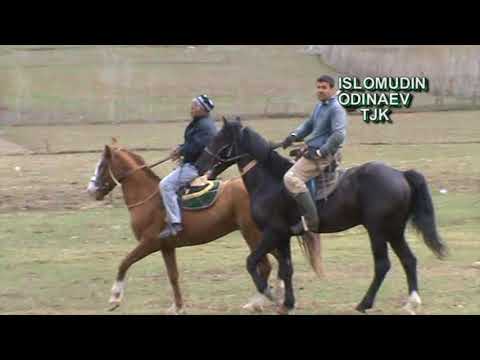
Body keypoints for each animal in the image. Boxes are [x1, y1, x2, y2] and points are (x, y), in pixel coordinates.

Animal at [86, 142, 322, 314]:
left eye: (101, 166)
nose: (91, 191)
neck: (150, 199)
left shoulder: (149, 243)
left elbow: (124, 263)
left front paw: (114, 298)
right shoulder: (166, 247)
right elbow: (173, 276)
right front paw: (178, 307)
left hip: (254, 235)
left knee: (265, 265)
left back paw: (258, 301)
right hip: (265, 236)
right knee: (278, 262)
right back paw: (277, 297)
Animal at [195, 118, 446, 316]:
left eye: (218, 139)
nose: (198, 165)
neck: (270, 182)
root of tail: (400, 174)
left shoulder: (273, 232)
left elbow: (251, 262)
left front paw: (269, 295)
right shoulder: (283, 236)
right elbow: (286, 269)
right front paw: (287, 304)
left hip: (377, 231)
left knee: (383, 264)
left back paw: (364, 304)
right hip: (394, 231)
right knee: (409, 260)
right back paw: (411, 303)